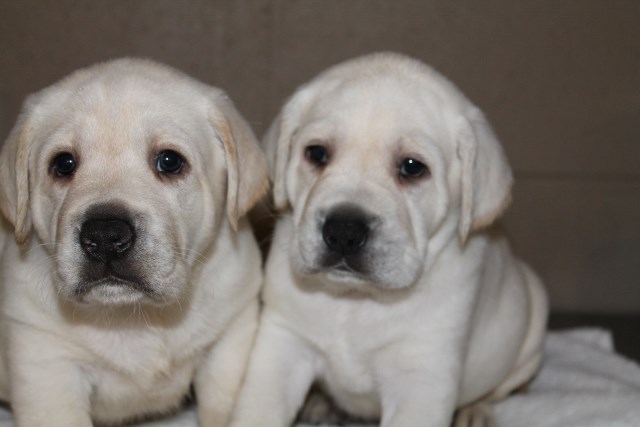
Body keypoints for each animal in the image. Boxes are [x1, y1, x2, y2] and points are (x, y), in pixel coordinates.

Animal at [0, 58, 268, 426]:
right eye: (63, 163)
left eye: (169, 161)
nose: (105, 236)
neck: (133, 317)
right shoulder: (46, 366)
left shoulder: (229, 339)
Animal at [232, 53, 548, 427]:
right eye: (317, 154)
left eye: (412, 167)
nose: (344, 231)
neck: (356, 300)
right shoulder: (283, 344)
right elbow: (257, 411)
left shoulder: (421, 377)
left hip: (530, 333)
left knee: (499, 388)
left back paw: (475, 411)